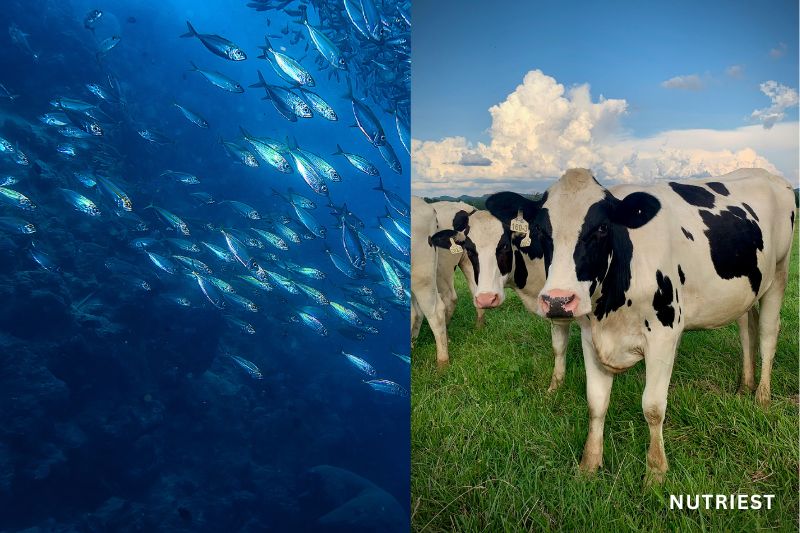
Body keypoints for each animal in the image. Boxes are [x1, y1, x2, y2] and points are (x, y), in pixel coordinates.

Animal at [485, 167, 795, 482]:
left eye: (602, 228)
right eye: (539, 230)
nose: (558, 301)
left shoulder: (664, 335)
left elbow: (653, 407)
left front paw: (656, 472)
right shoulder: (590, 335)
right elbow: (596, 401)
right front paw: (589, 464)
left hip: (779, 273)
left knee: (768, 335)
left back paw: (762, 397)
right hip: (746, 292)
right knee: (747, 329)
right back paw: (745, 385)